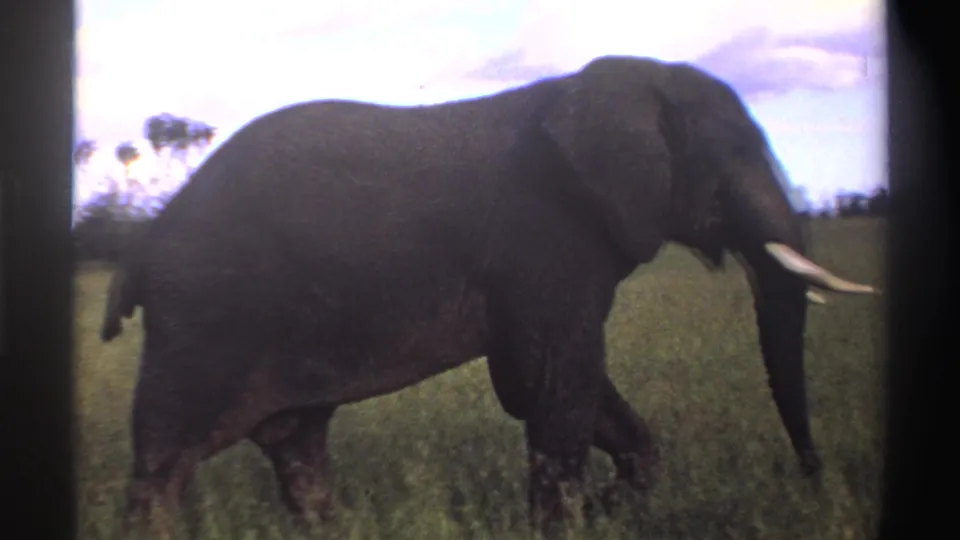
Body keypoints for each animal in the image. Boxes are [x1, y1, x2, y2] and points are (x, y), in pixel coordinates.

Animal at [100, 55, 877, 536]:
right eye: (739, 155)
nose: (811, 479)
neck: (605, 85)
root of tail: (144, 245)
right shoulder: (548, 234)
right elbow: (551, 384)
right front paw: (574, 521)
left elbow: (561, 387)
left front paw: (604, 509)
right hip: (201, 323)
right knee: (163, 468)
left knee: (297, 448)